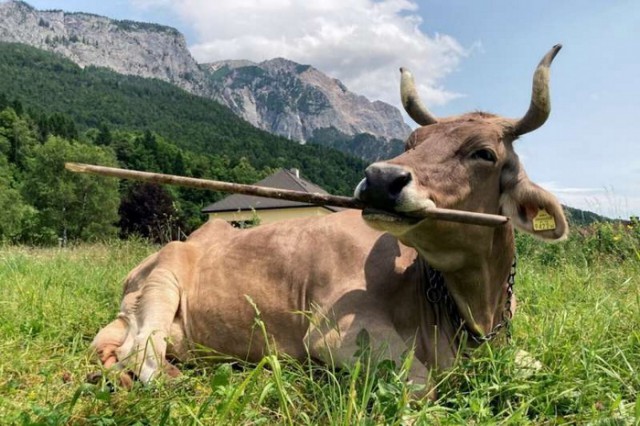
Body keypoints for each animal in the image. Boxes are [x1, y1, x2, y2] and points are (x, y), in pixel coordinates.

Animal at [91, 45, 568, 397]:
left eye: (484, 153)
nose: (380, 179)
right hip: (162, 282)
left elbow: (540, 365)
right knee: (143, 354)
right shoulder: (337, 335)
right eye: (411, 142)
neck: (473, 312)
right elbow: (421, 384)